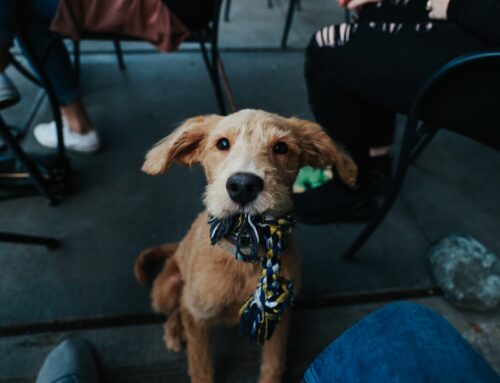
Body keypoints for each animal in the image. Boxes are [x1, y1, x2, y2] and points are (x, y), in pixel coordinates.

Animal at [135, 109, 358, 382]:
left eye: (281, 147)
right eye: (222, 143)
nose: (243, 185)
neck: (245, 248)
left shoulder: (278, 318)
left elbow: (274, 364)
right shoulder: (198, 316)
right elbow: (200, 366)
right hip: (165, 291)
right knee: (175, 309)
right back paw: (174, 332)